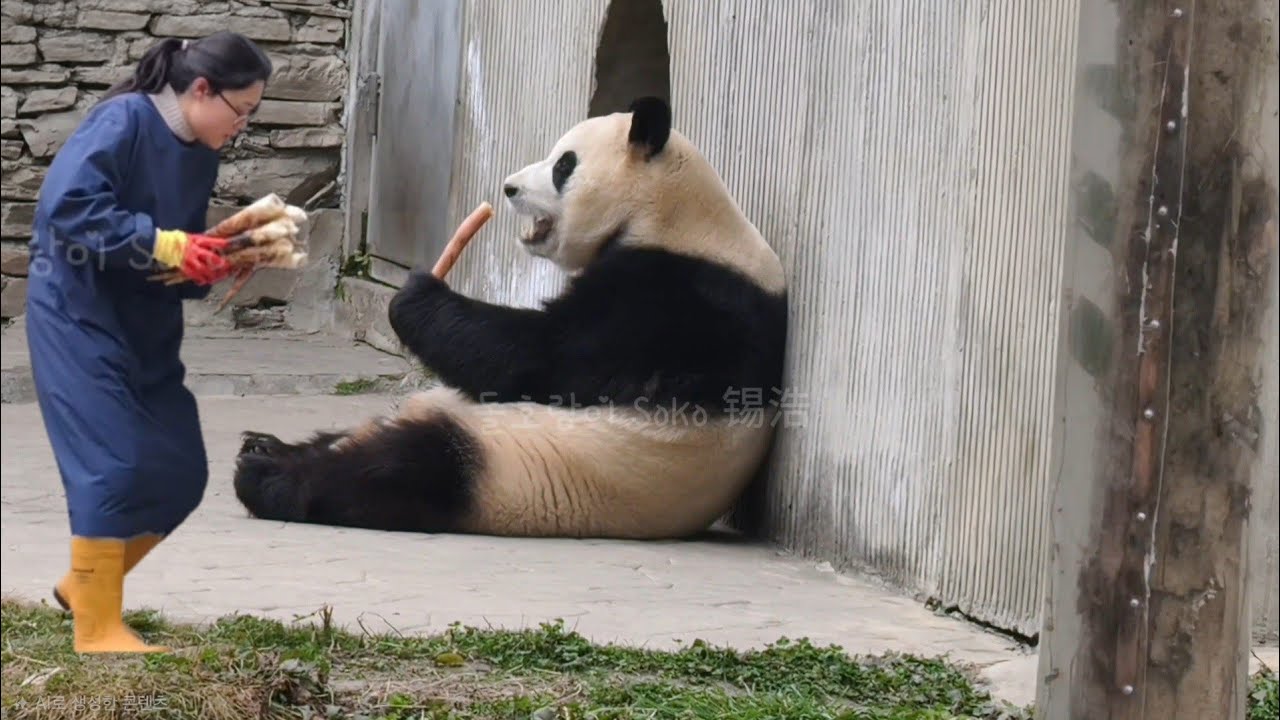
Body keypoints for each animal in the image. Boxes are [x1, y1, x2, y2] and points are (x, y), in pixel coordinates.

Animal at [231, 97, 789, 540]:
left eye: (564, 164)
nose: (510, 188)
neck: (677, 214)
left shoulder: (675, 301)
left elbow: (543, 356)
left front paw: (416, 295)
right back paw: (267, 445)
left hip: (508, 465)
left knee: (403, 469)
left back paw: (268, 475)